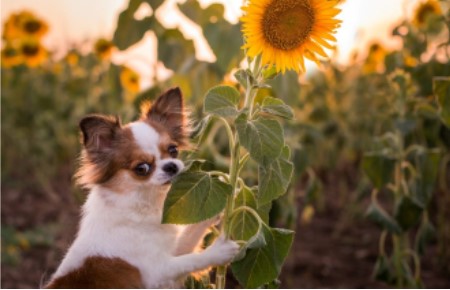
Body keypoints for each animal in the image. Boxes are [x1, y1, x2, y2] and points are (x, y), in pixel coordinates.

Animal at [45, 88, 241, 288]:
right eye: (142, 168)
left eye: (173, 150)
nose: (171, 166)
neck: (145, 201)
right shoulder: (158, 271)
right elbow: (191, 260)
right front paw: (219, 251)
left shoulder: (172, 249)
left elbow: (189, 237)